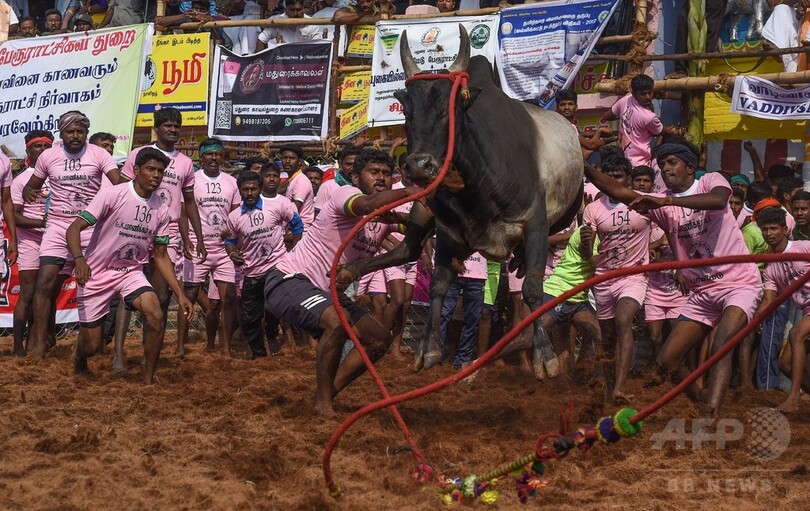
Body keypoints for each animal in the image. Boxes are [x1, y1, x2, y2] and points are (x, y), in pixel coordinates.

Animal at [334, 27, 580, 380]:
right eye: (406, 109)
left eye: (449, 109)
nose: (419, 166)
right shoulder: (448, 231)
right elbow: (439, 285)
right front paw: (427, 350)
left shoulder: (535, 223)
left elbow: (533, 289)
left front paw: (545, 356)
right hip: (422, 211)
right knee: (407, 249)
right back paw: (348, 270)